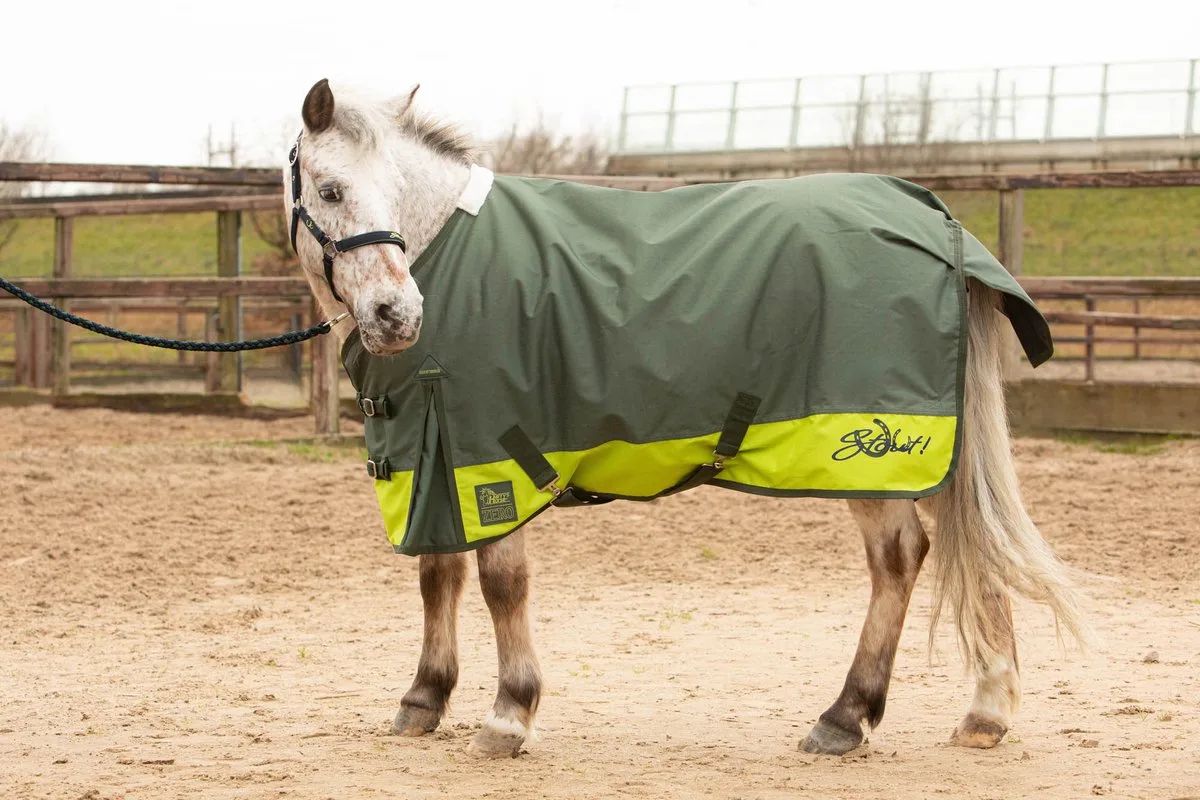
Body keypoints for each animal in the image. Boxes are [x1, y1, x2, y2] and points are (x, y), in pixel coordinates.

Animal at [282, 77, 1089, 759]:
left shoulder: (492, 453)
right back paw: (984, 711)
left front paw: (508, 714)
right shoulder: (434, 452)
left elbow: (500, 581)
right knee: (969, 540)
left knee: (900, 557)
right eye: (331, 189)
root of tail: (930, 213)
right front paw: (424, 699)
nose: (398, 315)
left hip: (876, 454)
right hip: (936, 450)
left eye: (391, 190)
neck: (448, 253)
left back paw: (845, 716)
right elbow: (438, 572)